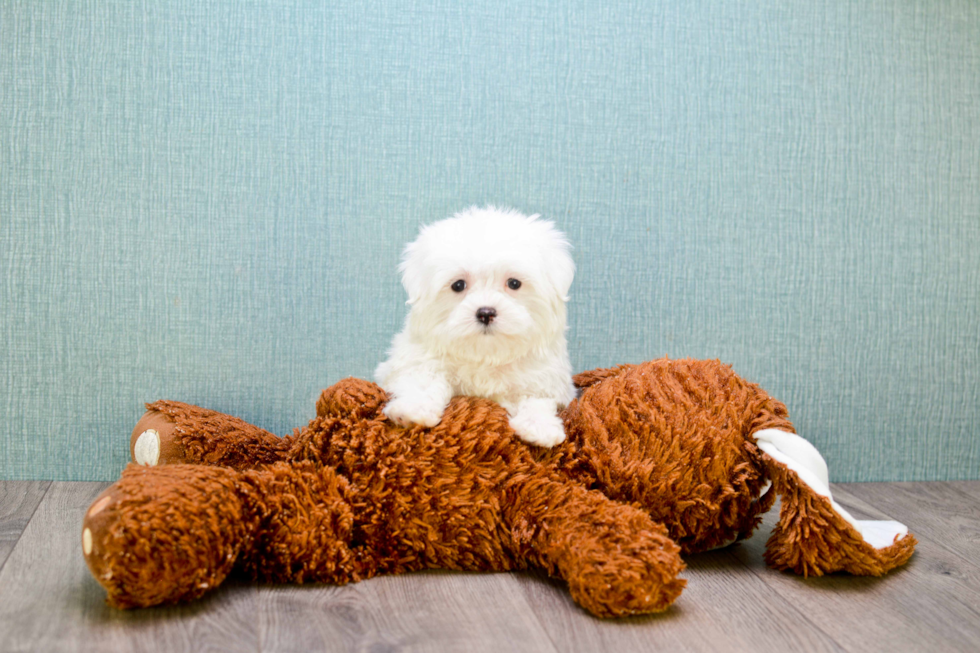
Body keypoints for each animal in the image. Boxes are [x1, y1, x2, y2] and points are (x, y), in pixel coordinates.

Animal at [374, 206, 576, 446]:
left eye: (514, 283)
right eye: (458, 285)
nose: (486, 313)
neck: (485, 354)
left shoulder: (544, 379)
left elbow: (537, 399)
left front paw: (539, 425)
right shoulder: (419, 360)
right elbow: (424, 381)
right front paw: (413, 409)